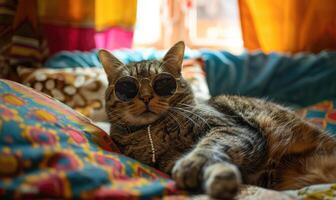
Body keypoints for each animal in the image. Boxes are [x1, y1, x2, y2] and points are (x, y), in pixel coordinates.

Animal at [98, 41, 336, 199]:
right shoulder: (167, 160)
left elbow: (207, 148)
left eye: (163, 83)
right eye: (126, 88)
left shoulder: (230, 129)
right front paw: (220, 179)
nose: (146, 97)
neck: (154, 130)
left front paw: (196, 165)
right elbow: (214, 164)